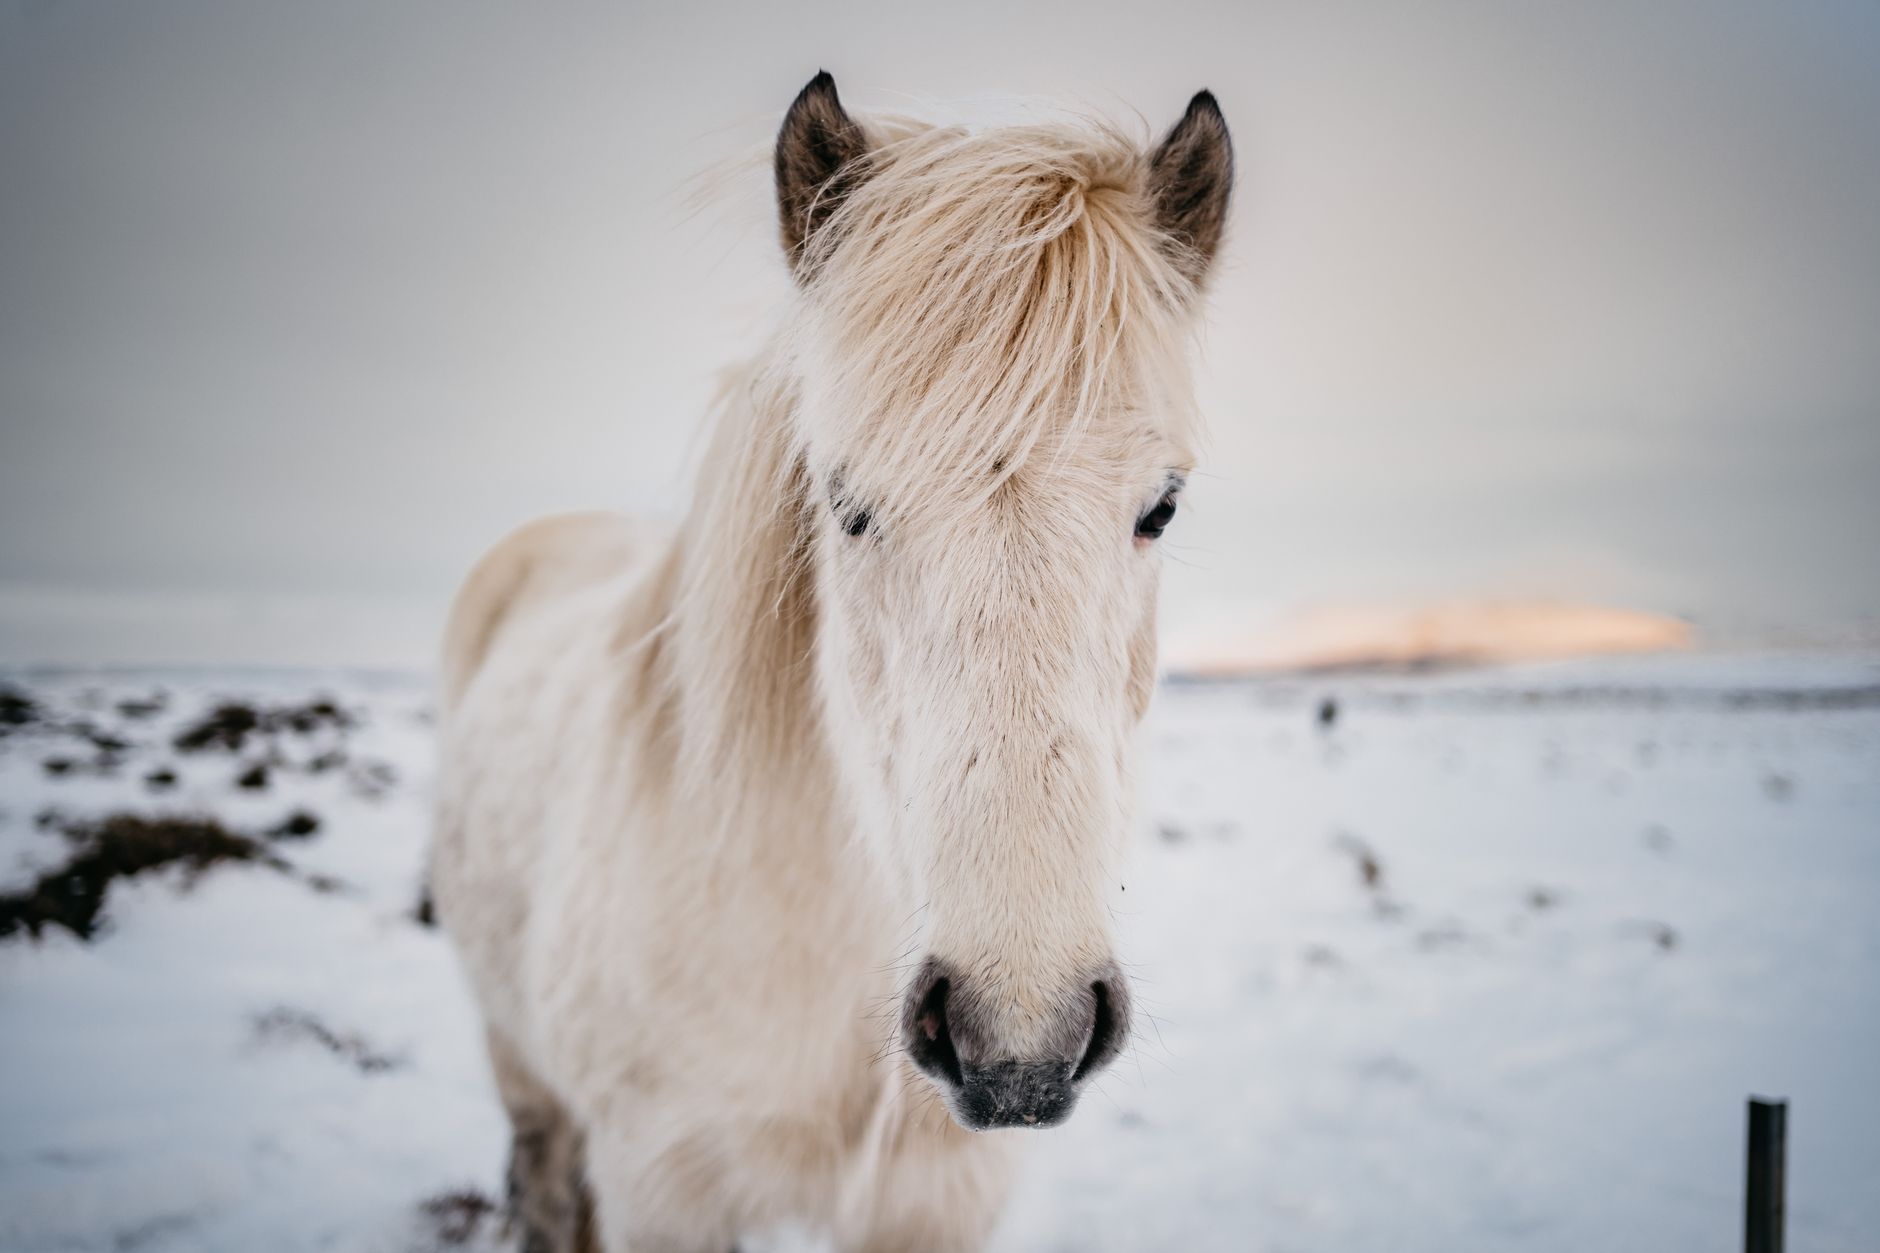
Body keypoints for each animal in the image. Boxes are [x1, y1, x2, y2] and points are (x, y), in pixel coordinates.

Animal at [431, 71, 1233, 1253]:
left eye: (1161, 507)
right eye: (847, 505)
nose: (1016, 1037)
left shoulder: (933, 1207)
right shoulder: (661, 1191)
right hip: (516, 1061)